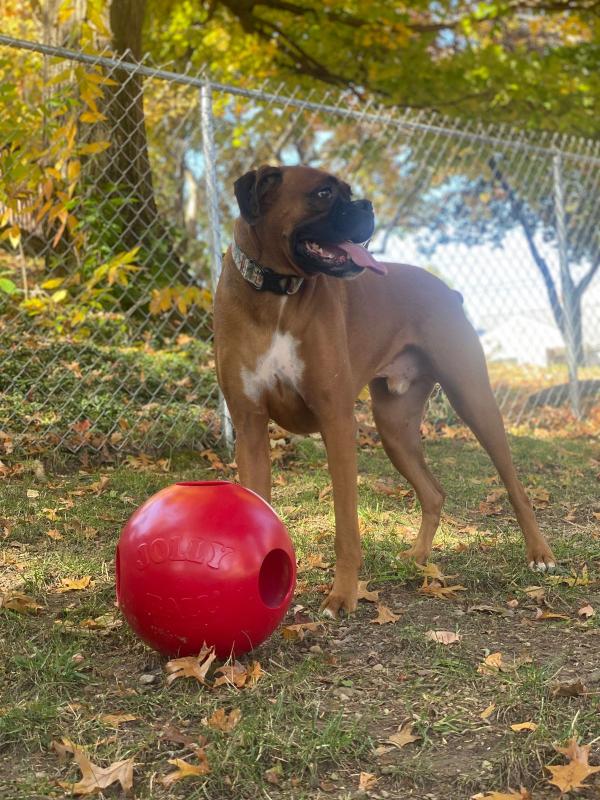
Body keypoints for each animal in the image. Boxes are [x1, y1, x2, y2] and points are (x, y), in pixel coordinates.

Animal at [213, 164, 556, 620]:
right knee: (434, 493)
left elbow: (346, 526)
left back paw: (540, 554)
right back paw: (417, 557)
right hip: (395, 429)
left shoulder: (336, 423)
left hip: (474, 401)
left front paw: (342, 595)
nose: (367, 206)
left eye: (347, 191)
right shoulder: (250, 429)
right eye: (323, 193)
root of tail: (448, 290)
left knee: (516, 487)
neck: (275, 295)